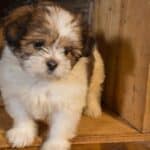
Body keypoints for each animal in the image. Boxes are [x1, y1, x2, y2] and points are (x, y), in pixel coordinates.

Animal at [0, 1, 104, 150]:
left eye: (67, 51)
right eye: (38, 44)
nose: (52, 63)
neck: (42, 79)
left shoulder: (68, 103)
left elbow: (61, 126)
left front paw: (55, 144)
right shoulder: (14, 94)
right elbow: (22, 115)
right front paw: (23, 133)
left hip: (98, 69)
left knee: (94, 90)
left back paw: (93, 108)